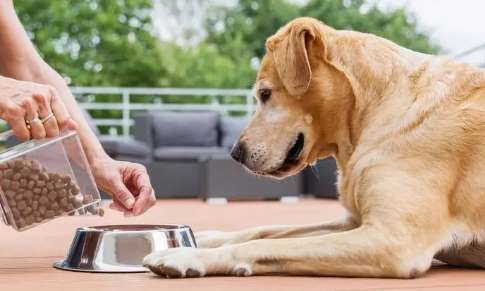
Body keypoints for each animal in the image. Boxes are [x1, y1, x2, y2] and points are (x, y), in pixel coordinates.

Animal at [144, 17, 484, 280]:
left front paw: (185, 257)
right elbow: (266, 229)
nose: (235, 153)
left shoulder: (393, 240)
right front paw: (202, 239)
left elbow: (269, 244)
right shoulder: (353, 222)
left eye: (264, 94)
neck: (373, 108)